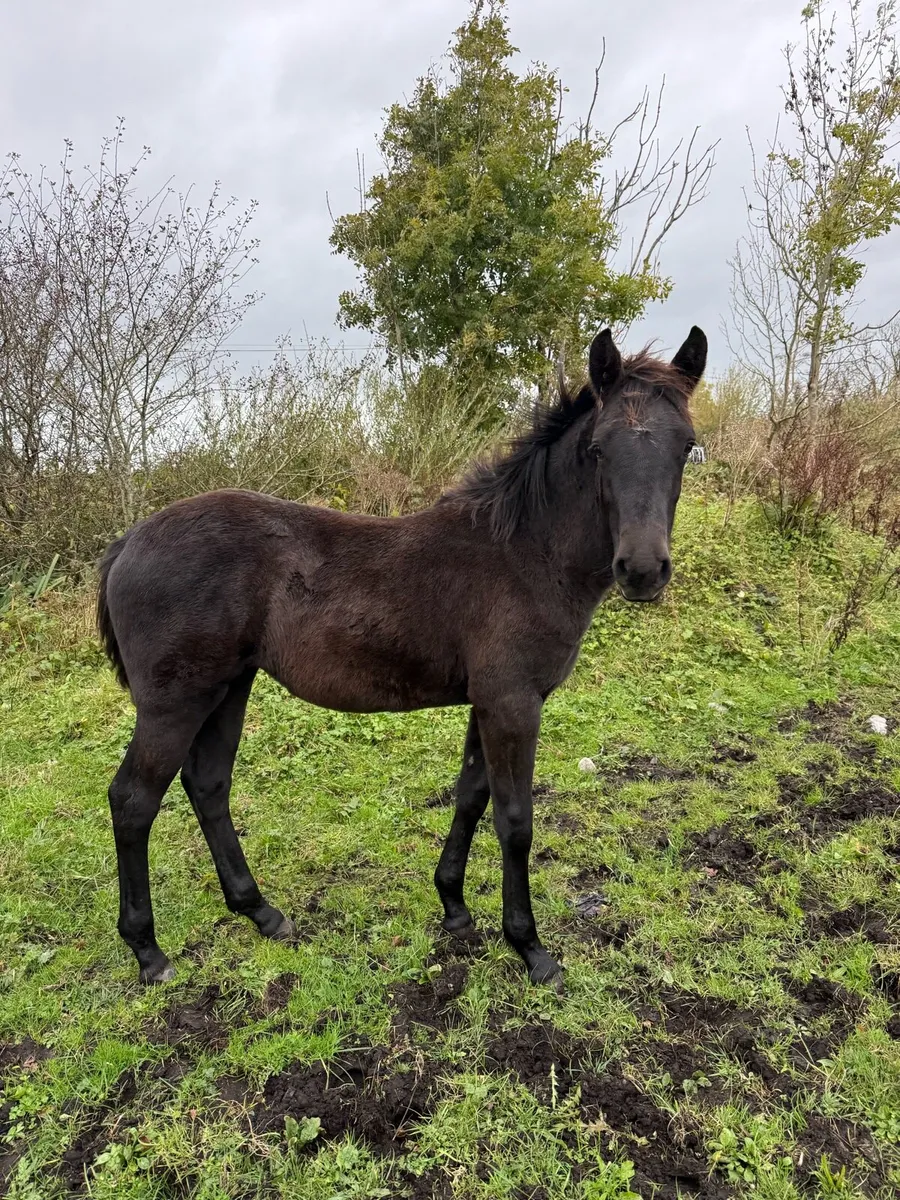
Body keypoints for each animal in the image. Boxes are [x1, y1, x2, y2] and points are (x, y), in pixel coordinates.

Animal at [97, 325, 707, 986]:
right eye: (598, 449)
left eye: (687, 447)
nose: (642, 570)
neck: (526, 553)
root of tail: (129, 541)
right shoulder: (513, 703)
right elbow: (515, 820)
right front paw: (530, 948)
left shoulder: (486, 703)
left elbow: (471, 797)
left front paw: (455, 907)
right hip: (175, 703)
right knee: (133, 801)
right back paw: (148, 951)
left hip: (228, 688)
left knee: (208, 785)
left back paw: (260, 912)